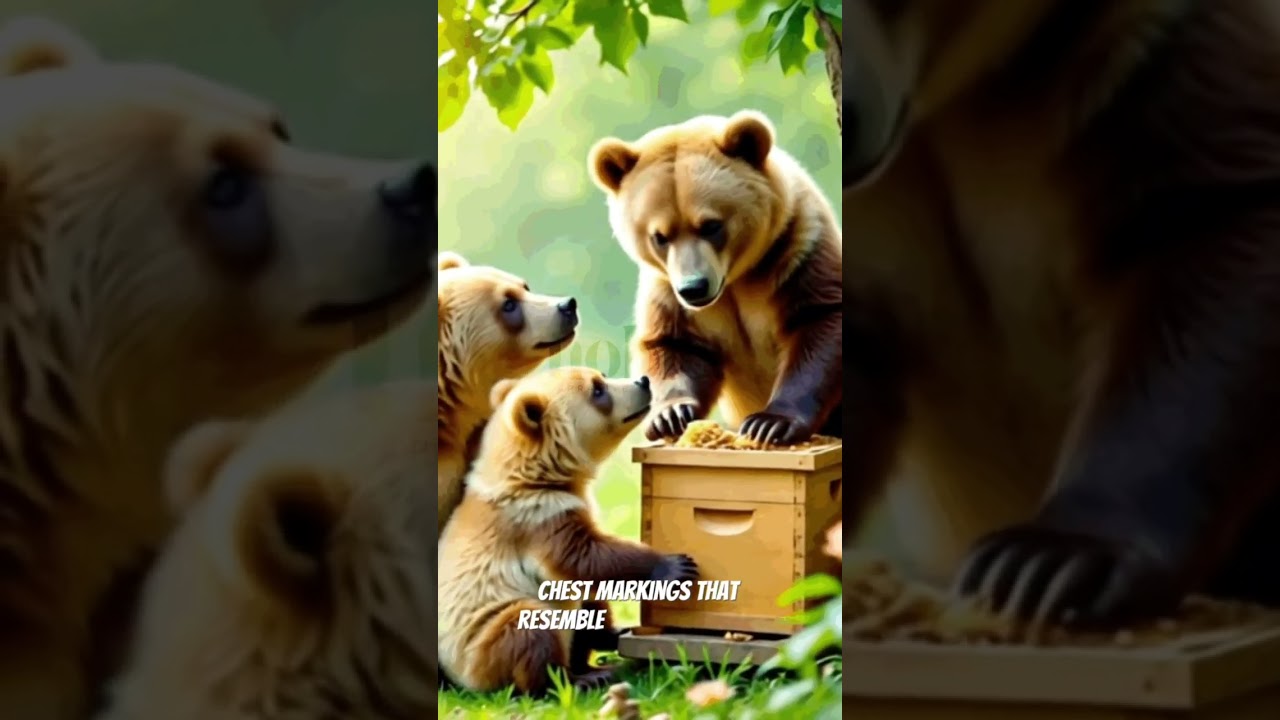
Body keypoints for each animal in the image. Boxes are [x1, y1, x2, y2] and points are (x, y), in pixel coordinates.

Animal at [438, 367, 699, 696]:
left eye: (601, 377)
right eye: (598, 390)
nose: (643, 382)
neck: (534, 475)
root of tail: (459, 680)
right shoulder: (536, 516)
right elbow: (583, 557)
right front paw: (675, 566)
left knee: (587, 608)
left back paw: (607, 643)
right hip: (482, 642)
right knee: (528, 628)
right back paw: (574, 679)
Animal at [586, 110, 843, 447]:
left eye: (711, 225)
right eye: (660, 236)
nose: (694, 287)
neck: (737, 278)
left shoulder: (797, 247)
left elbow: (817, 318)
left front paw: (770, 423)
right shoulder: (667, 288)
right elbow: (673, 343)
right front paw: (671, 415)